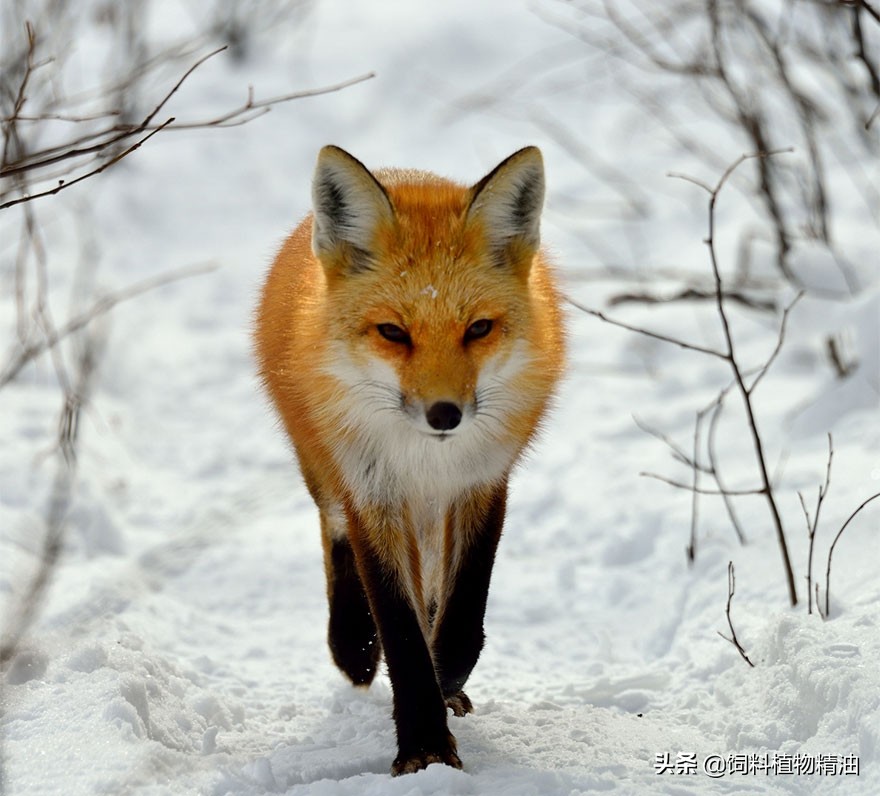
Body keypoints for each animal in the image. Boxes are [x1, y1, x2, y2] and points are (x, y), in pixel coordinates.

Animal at [254, 146, 568, 776]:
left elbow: (465, 605)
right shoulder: (372, 491)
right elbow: (399, 626)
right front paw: (423, 743)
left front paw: (445, 680)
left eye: (478, 328)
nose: (445, 415)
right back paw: (352, 645)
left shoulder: (481, 481)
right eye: (393, 333)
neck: (426, 460)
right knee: (334, 534)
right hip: (328, 472)